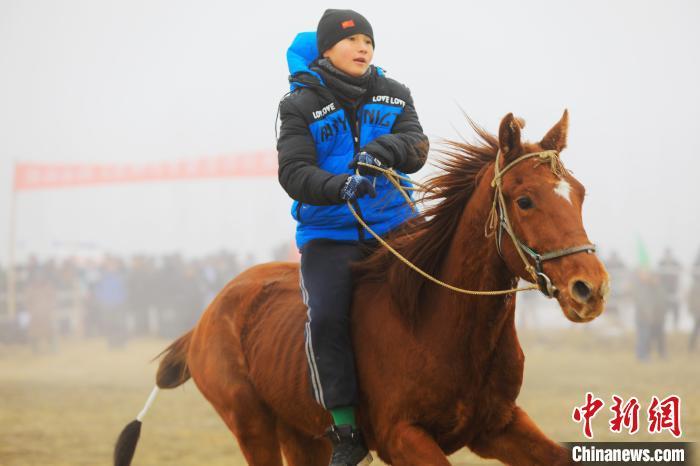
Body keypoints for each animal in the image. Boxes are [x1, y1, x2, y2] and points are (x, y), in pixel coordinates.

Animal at [113, 112, 608, 466]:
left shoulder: (498, 425)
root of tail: (203, 321)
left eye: (580, 193)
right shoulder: (402, 436)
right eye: (524, 200)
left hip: (303, 434)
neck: (437, 324)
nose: (591, 288)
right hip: (251, 425)